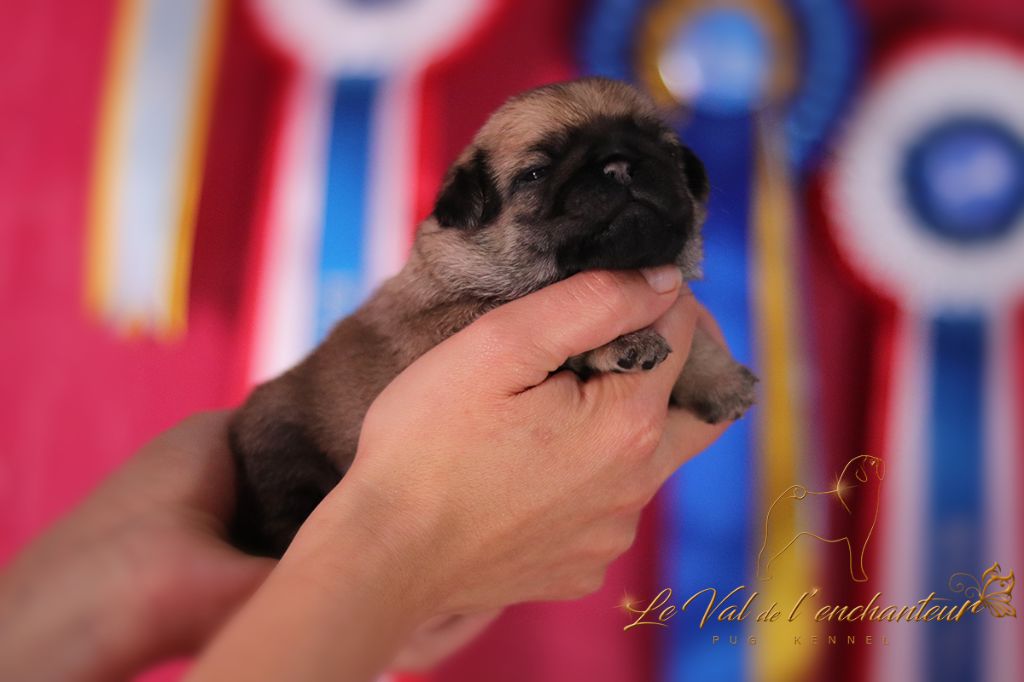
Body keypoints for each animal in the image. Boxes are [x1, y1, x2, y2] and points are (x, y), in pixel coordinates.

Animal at [230, 77, 758, 557]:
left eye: (666, 152)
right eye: (535, 174)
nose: (621, 165)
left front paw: (719, 378)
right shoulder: (450, 323)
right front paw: (624, 340)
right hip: (282, 444)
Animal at [757, 455, 885, 583]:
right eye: (872, 462)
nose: (881, 461)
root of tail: (786, 497)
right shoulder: (856, 542)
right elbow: (857, 561)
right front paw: (860, 577)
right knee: (764, 554)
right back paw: (764, 576)